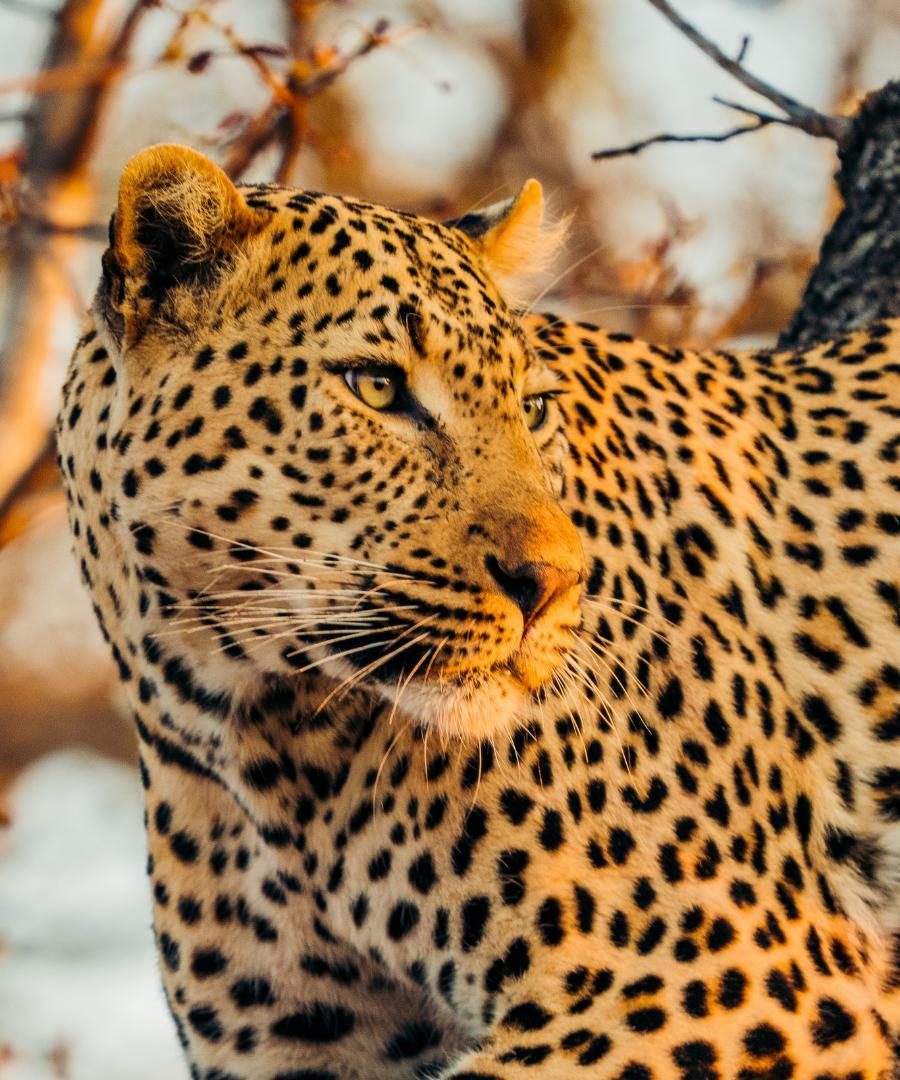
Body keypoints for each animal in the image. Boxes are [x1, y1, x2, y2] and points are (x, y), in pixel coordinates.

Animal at [57, 143, 900, 1079]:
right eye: (376, 387)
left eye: (532, 407)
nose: (556, 582)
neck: (255, 729)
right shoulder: (304, 1048)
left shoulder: (734, 974)